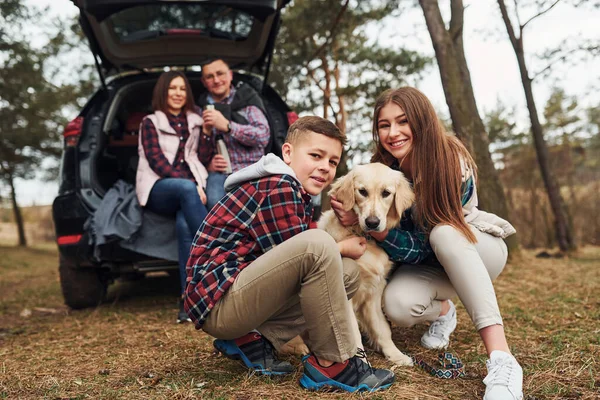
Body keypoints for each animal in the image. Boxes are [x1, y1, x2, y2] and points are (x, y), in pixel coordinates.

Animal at [318, 162, 418, 366]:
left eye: (386, 193)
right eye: (362, 191)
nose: (372, 222)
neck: (364, 236)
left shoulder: (374, 290)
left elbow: (382, 328)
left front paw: (395, 355)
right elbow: (352, 332)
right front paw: (361, 362)